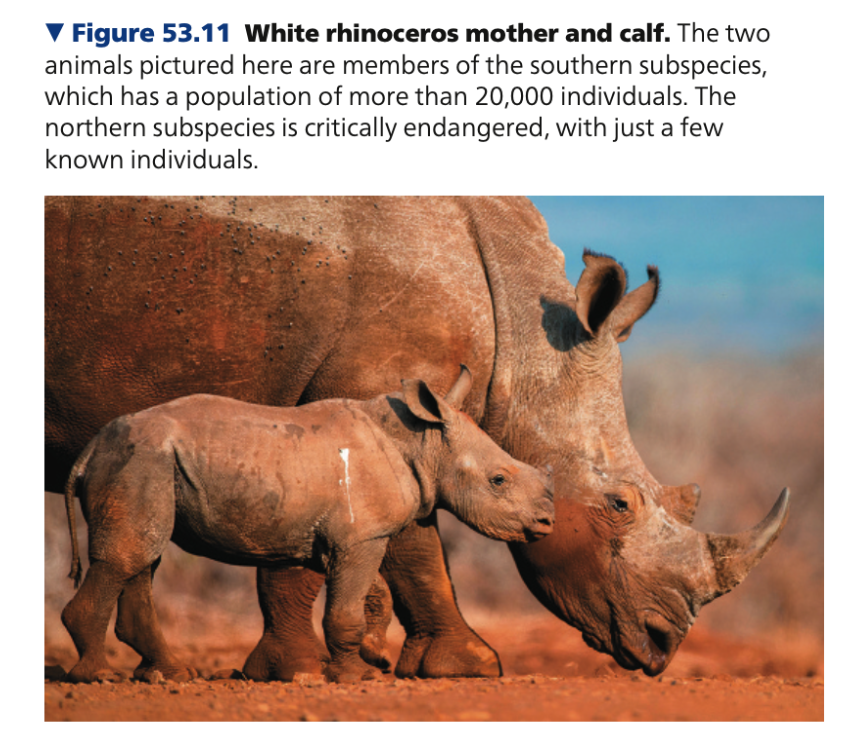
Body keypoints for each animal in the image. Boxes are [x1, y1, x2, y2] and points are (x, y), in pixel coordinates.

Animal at [61, 369, 554, 683]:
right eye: (498, 480)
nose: (547, 523)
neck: (422, 442)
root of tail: (87, 451)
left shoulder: (346, 536)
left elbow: (370, 594)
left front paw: (373, 657)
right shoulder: (361, 537)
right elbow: (347, 608)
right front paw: (357, 677)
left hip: (146, 462)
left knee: (143, 557)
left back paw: (168, 676)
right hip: (139, 460)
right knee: (128, 556)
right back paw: (99, 677)